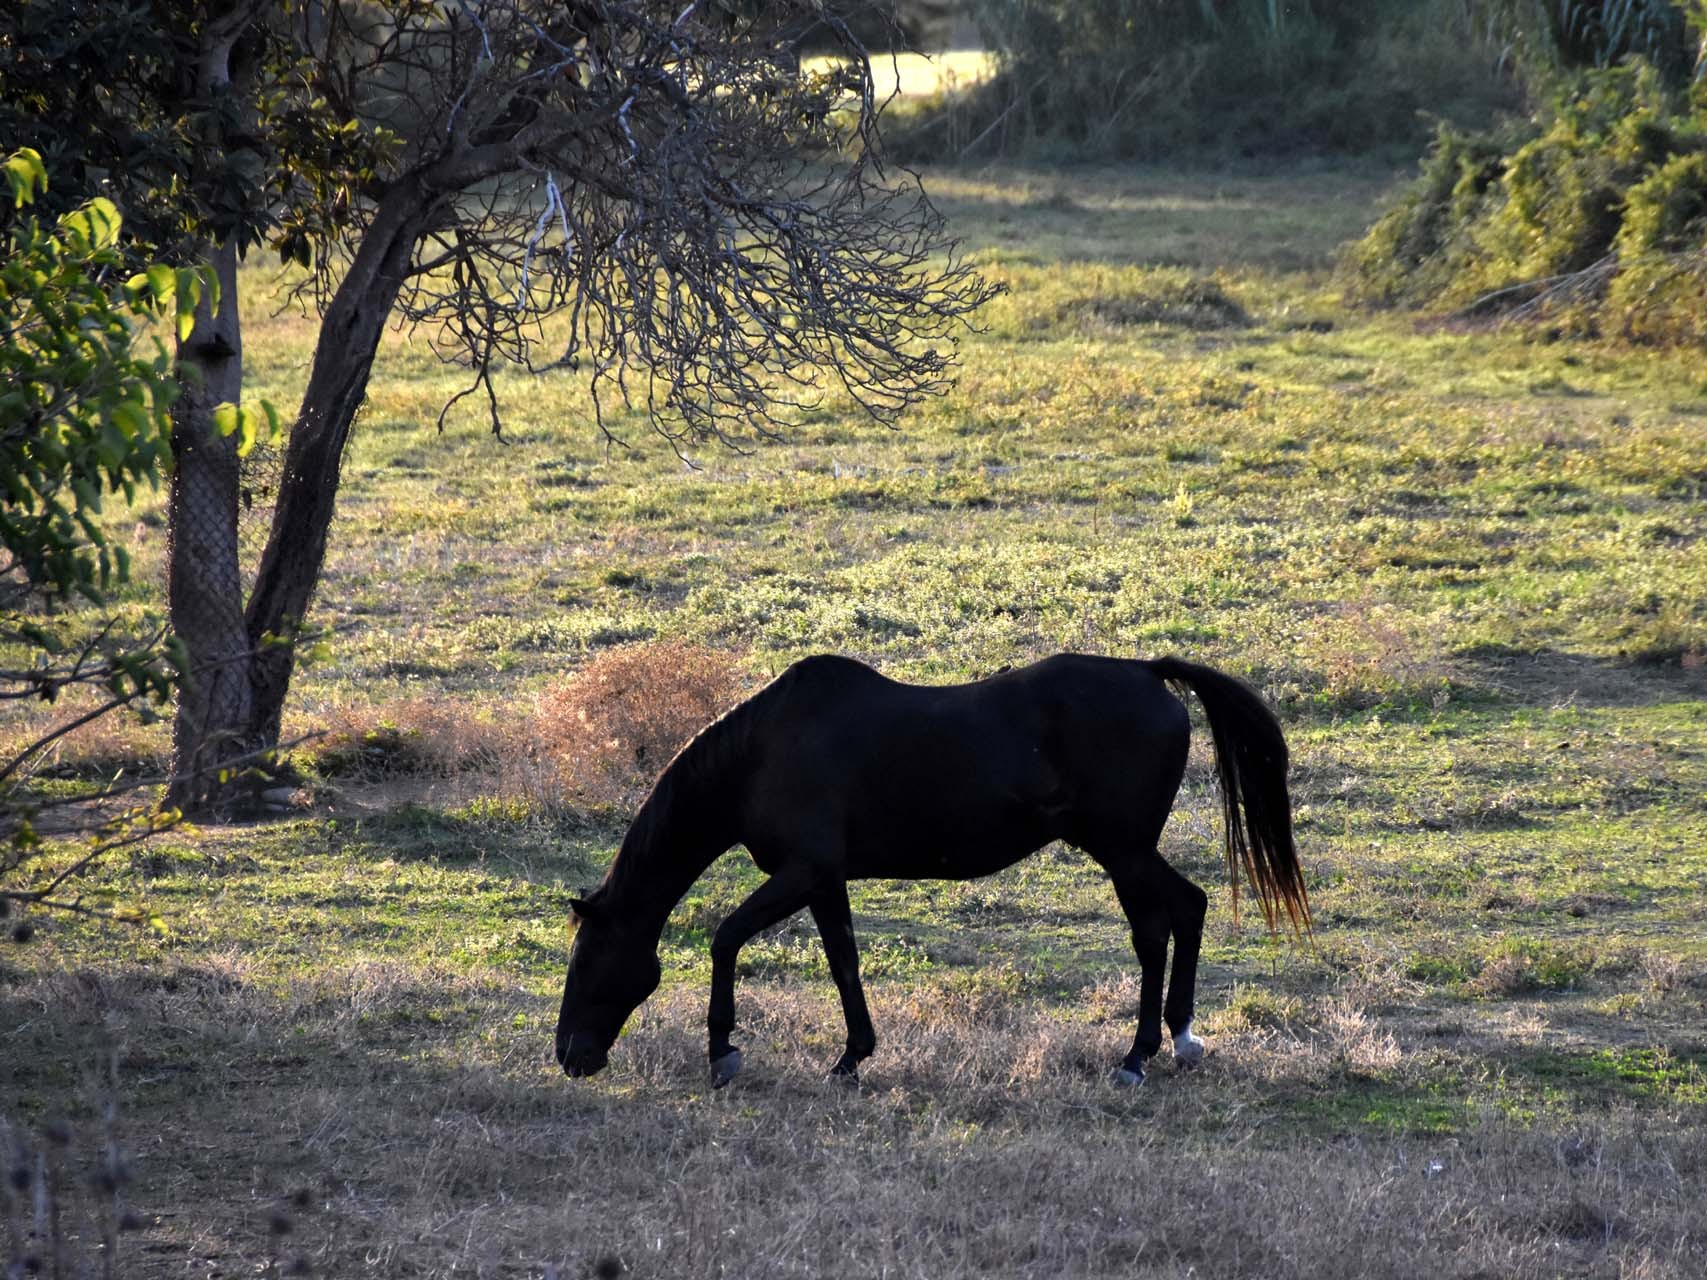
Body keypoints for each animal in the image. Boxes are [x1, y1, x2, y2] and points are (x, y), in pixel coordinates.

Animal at [553, 655, 1297, 1085]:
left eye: (586, 964)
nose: (568, 1056)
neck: (760, 754)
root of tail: (1148, 671)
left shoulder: (801, 872)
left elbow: (725, 939)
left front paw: (723, 1053)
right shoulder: (823, 880)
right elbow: (843, 963)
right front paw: (851, 1058)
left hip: (1122, 851)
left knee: (1152, 931)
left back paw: (1137, 1056)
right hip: (1128, 849)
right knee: (1190, 908)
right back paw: (1181, 1038)